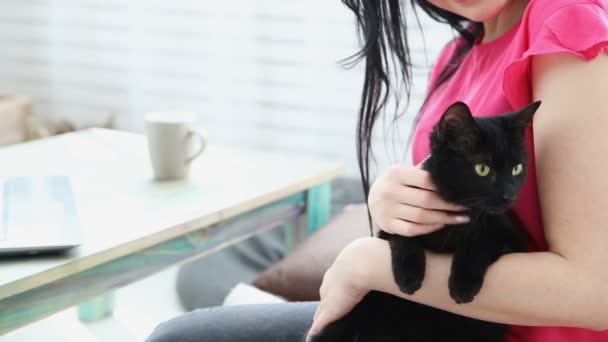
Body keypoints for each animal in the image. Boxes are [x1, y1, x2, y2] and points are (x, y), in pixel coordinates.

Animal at [308, 100, 540, 340]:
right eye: (482, 169)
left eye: (517, 168)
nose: (508, 195)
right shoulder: (391, 226)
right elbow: (402, 235)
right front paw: (408, 276)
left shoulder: (511, 239)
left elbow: (480, 243)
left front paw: (462, 285)